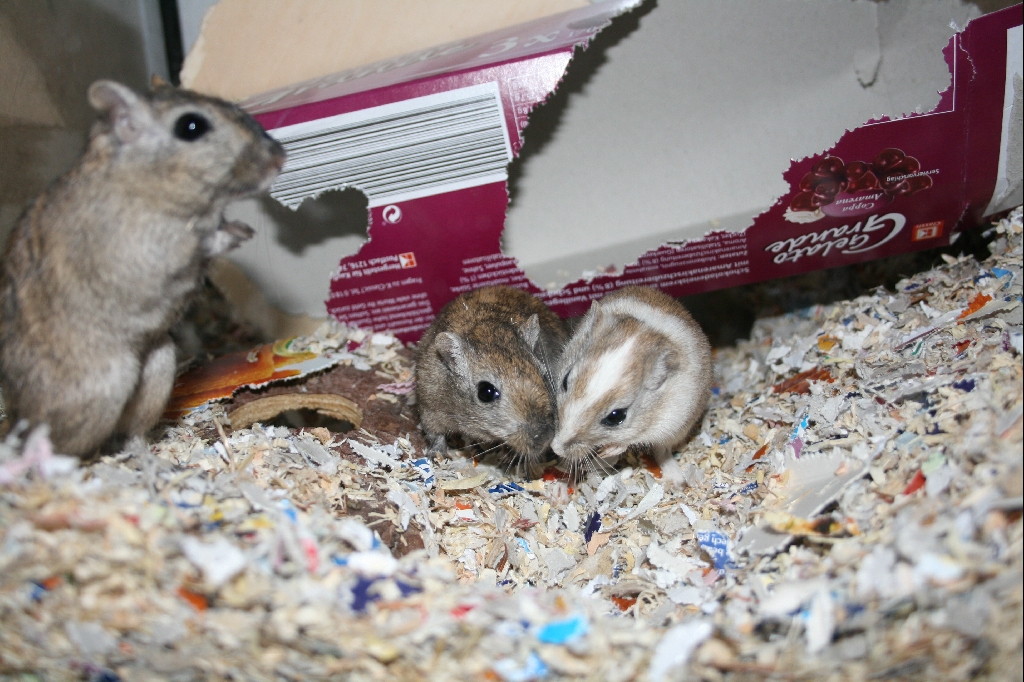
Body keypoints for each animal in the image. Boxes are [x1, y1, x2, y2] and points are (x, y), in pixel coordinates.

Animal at [0, 79, 285, 457]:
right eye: (191, 126)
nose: (281, 156)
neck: (143, 179)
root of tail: (16, 417)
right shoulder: (154, 246)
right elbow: (202, 241)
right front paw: (241, 232)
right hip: (103, 390)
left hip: (158, 364)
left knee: (131, 431)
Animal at [415, 286, 568, 463]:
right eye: (486, 392)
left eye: (544, 376)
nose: (545, 439)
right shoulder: (429, 408)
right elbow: (435, 435)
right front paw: (436, 457)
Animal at [551, 286, 711, 469]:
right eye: (565, 381)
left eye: (616, 417)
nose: (555, 448)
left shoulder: (666, 422)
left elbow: (630, 441)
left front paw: (607, 451)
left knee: (663, 451)